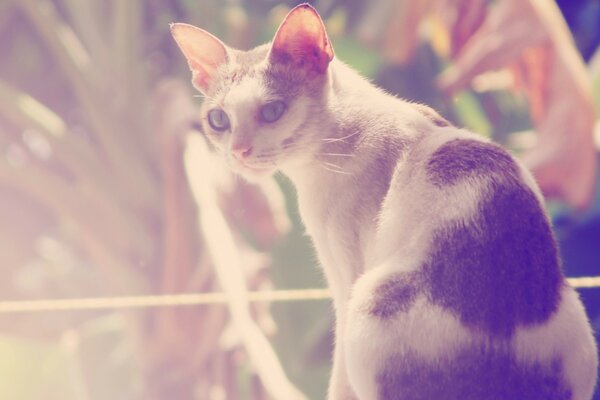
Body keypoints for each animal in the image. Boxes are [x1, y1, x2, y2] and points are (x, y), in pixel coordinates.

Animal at [171, 3, 596, 400]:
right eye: (219, 120)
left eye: (272, 111)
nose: (238, 152)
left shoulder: (345, 277)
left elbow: (338, 378)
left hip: (370, 300)